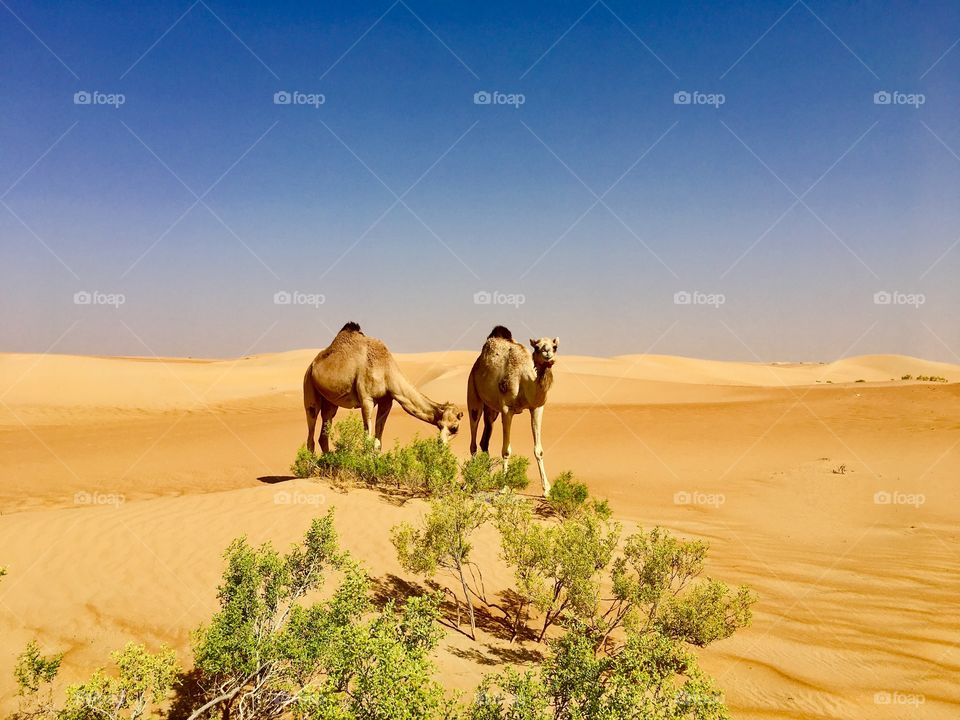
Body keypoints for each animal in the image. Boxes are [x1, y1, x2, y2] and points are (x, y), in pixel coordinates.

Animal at [303, 322, 462, 454]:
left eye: (454, 428)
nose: (441, 444)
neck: (386, 371)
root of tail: (312, 365)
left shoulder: (387, 401)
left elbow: (377, 442)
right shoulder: (367, 399)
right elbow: (367, 440)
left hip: (330, 402)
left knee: (324, 431)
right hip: (309, 386)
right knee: (311, 431)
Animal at [467, 326, 558, 495]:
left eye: (555, 346)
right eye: (537, 347)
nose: (548, 353)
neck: (524, 380)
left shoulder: (537, 407)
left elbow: (539, 450)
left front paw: (546, 490)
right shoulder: (506, 409)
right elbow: (506, 450)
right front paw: (504, 486)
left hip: (491, 410)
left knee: (484, 440)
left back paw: (486, 478)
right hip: (473, 394)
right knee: (473, 440)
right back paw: (472, 480)